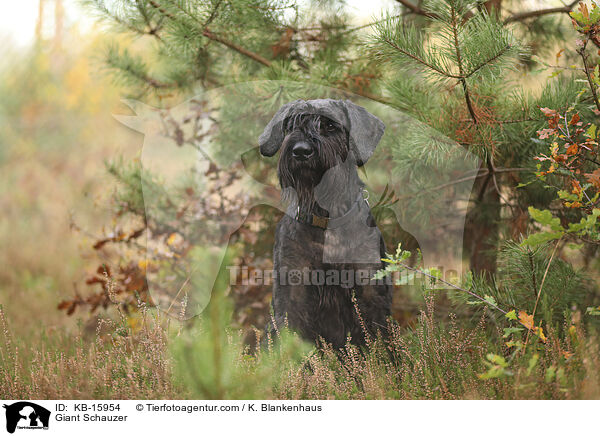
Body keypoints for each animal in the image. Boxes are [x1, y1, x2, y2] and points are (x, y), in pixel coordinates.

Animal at [258, 99, 394, 348]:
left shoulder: (370, 291)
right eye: (291, 125)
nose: (301, 150)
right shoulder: (293, 292)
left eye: (330, 126)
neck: (325, 217)